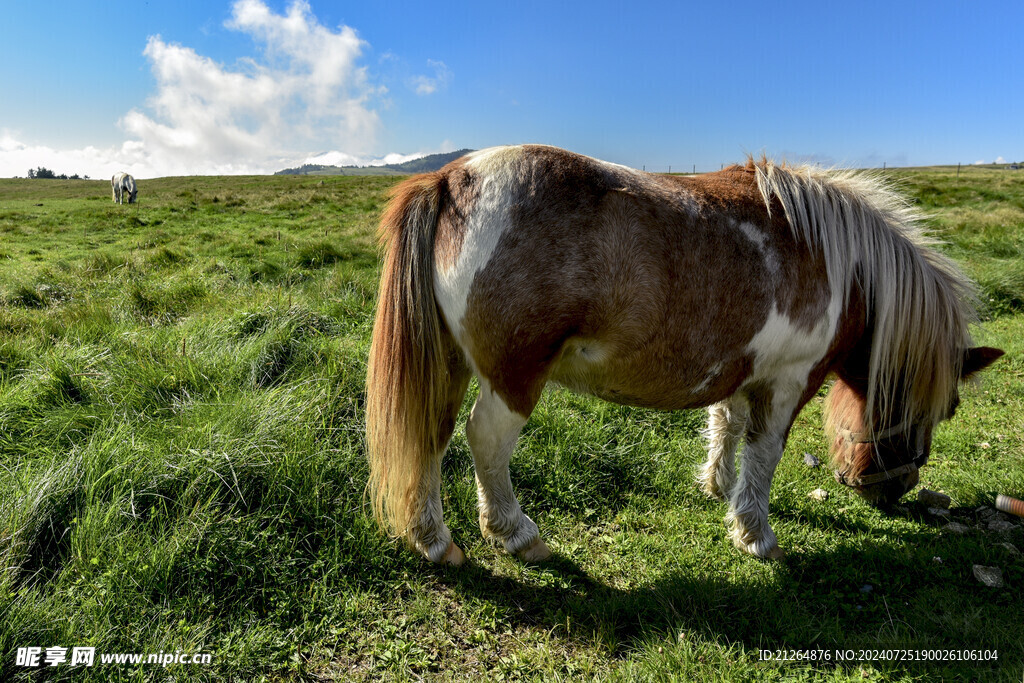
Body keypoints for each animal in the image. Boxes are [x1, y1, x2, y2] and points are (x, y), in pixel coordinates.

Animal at [366, 145, 999, 565]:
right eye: (945, 409)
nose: (892, 491)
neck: (839, 263)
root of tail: (451, 177)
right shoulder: (789, 379)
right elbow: (764, 451)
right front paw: (755, 534)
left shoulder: (743, 368)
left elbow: (726, 424)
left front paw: (719, 487)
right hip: (514, 376)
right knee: (486, 441)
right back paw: (515, 533)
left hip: (447, 363)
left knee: (429, 434)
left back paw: (433, 540)